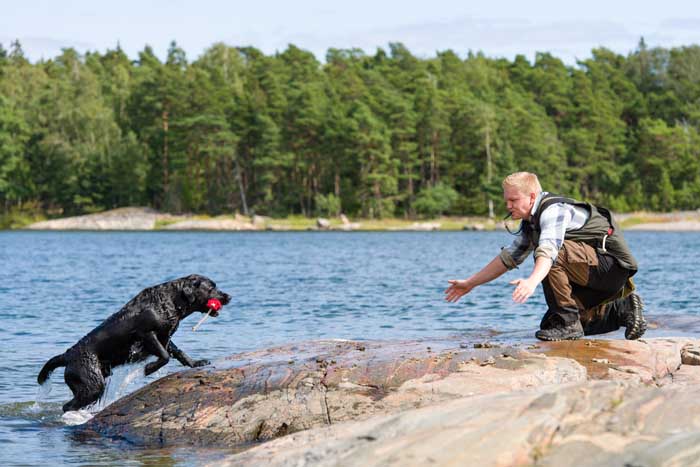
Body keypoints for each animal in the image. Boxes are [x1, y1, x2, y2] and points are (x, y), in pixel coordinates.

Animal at [37, 274, 232, 414]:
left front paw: (196, 363)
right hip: (92, 383)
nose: (229, 296)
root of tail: (67, 355)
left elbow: (178, 352)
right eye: (212, 287)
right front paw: (149, 369)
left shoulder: (164, 336)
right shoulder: (147, 334)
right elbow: (164, 356)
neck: (170, 300)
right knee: (68, 406)